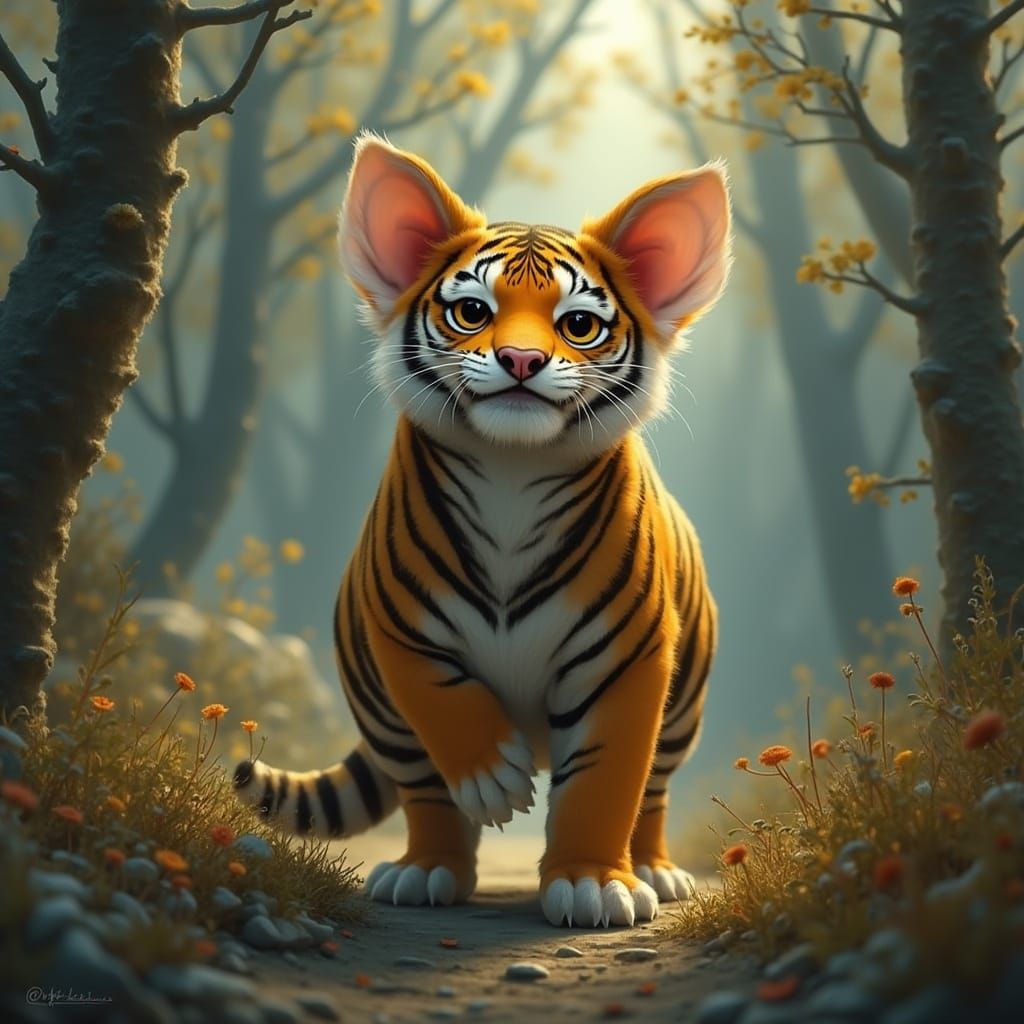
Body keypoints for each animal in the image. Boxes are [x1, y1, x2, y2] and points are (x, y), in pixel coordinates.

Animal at [234, 133, 731, 928]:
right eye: (472, 311)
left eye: (578, 325)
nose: (522, 359)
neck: (512, 472)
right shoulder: (397, 628)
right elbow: (443, 701)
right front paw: (494, 777)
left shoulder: (626, 661)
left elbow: (605, 780)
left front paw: (592, 884)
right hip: (385, 719)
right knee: (425, 793)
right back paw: (424, 872)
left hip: (681, 712)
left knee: (651, 792)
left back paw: (655, 871)